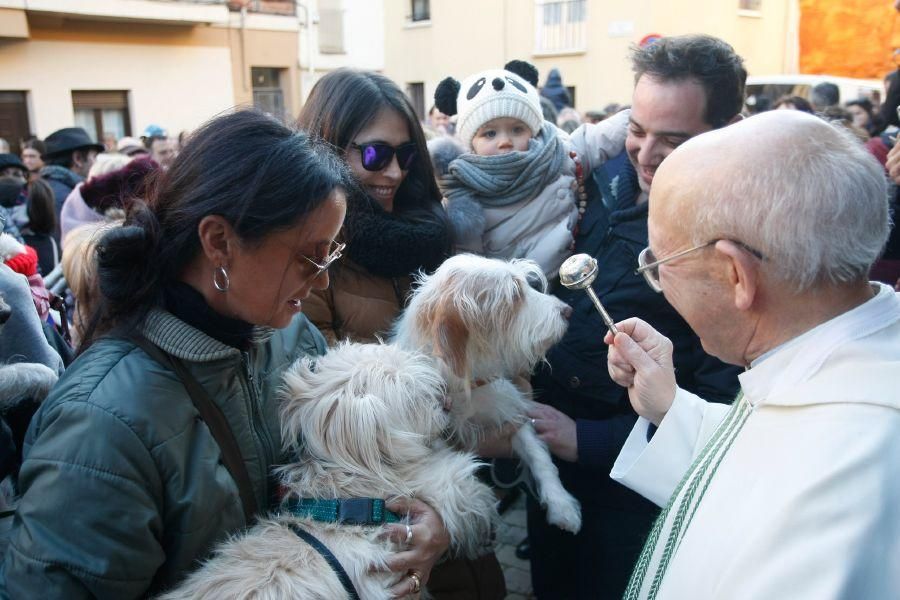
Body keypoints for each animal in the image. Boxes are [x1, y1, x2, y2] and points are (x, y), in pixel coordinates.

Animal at [396, 253, 584, 536]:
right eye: (515, 294)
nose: (567, 311)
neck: (466, 382)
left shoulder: (511, 412)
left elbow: (539, 457)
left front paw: (561, 504)